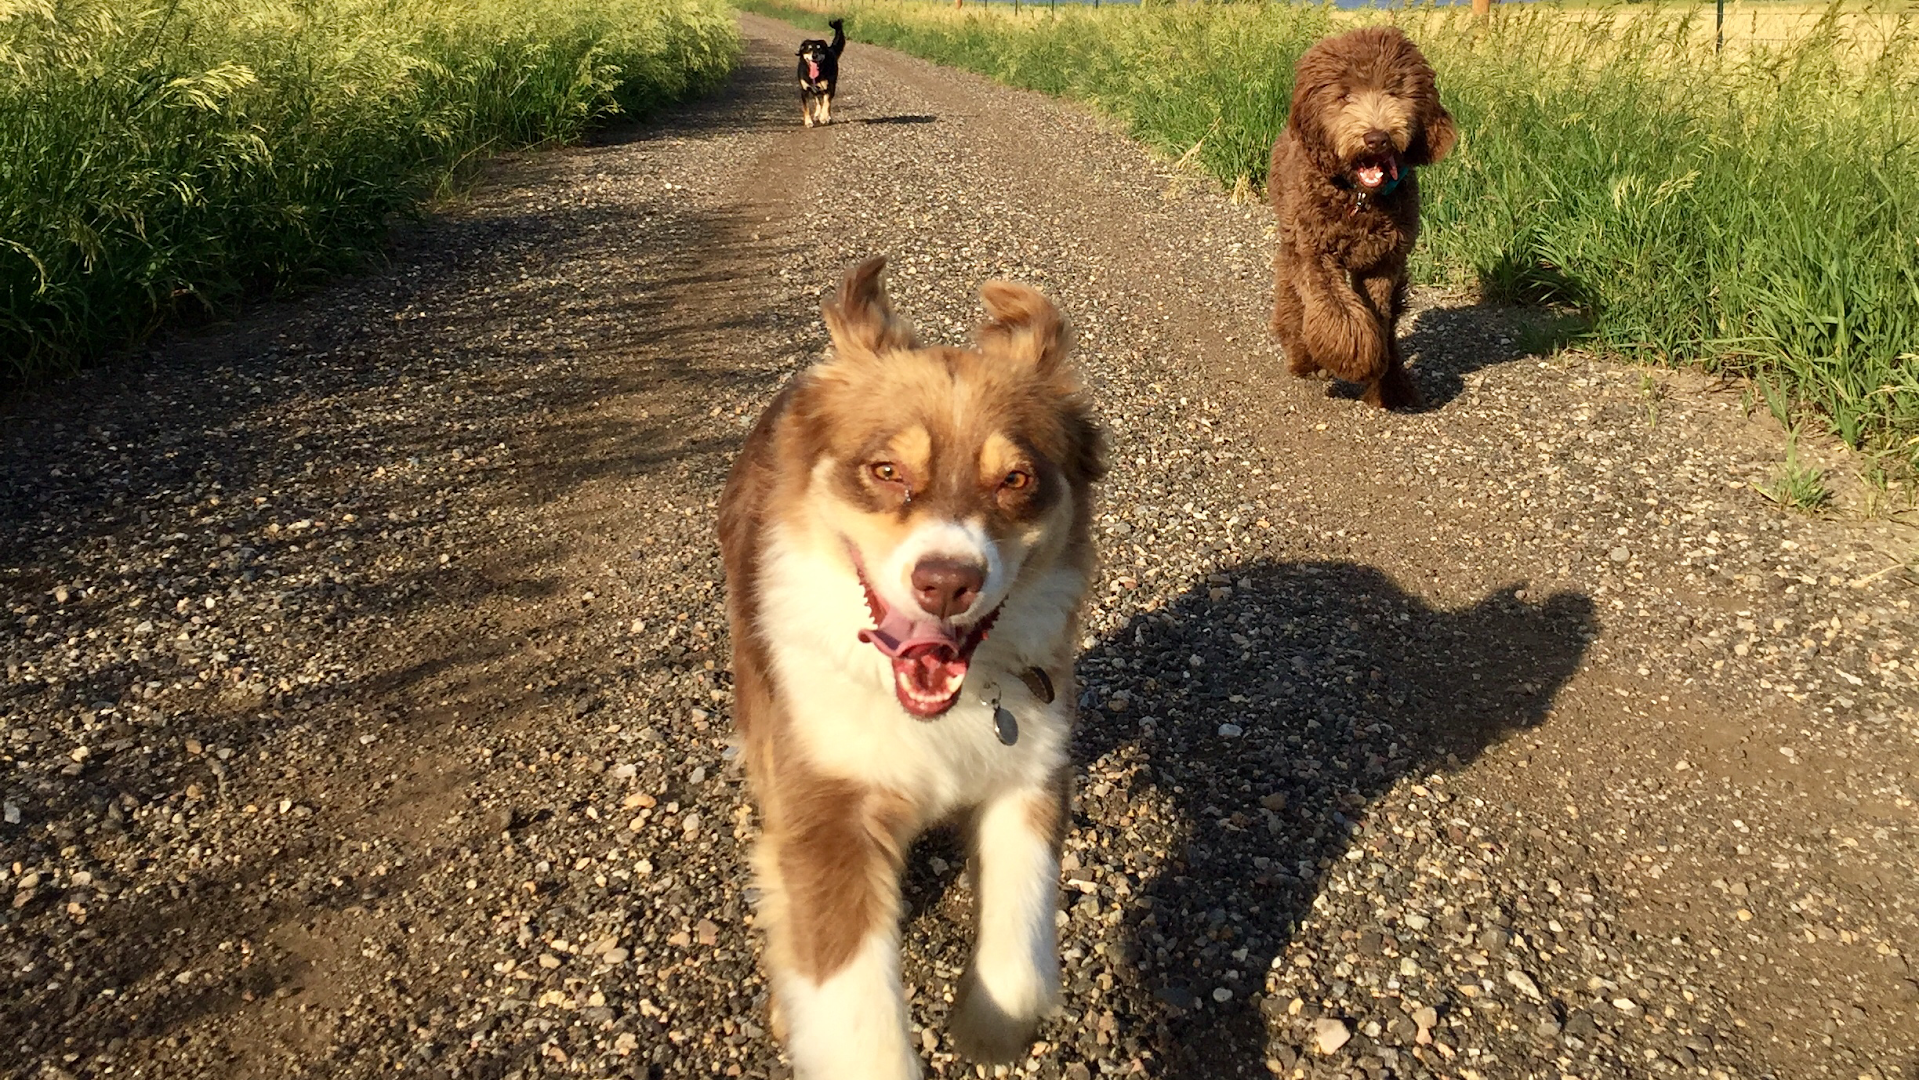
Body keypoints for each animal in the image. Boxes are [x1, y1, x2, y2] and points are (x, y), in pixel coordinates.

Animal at [721, 257, 1113, 1074]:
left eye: (1017, 479)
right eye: (886, 469)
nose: (946, 581)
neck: (935, 714)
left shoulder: (1032, 768)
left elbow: (1023, 960)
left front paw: (986, 1030)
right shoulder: (826, 813)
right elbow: (858, 1022)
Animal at [1274, 28, 1450, 414]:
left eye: (1396, 91)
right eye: (1344, 96)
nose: (1377, 137)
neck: (1360, 198)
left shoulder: (1384, 260)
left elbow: (1379, 315)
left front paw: (1384, 378)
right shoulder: (1315, 250)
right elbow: (1336, 309)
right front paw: (1351, 356)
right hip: (1292, 236)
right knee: (1292, 294)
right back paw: (1301, 353)